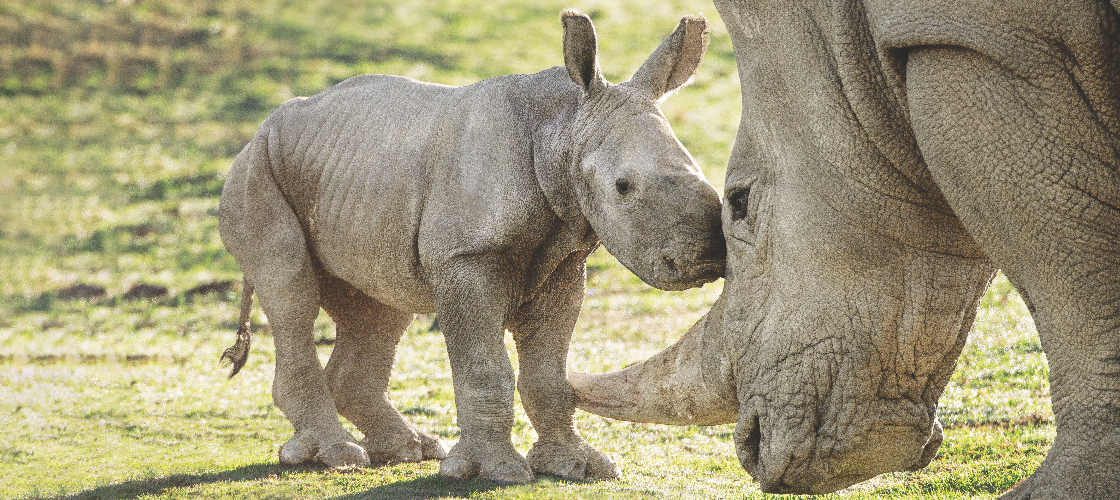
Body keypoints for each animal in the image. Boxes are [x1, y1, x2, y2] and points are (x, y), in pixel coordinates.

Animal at [220, 8, 725, 484]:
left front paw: (579, 465)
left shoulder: (563, 261)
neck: (563, 130)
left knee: (380, 308)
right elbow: (486, 369)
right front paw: (497, 470)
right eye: (623, 187)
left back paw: (410, 450)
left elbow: (549, 373)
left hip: (354, 177)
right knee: (290, 292)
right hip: (257, 168)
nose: (705, 259)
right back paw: (339, 457)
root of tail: (261, 128)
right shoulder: (468, 257)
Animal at [573, 0, 1120, 495]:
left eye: (740, 203)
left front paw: (1058, 490)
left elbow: (1071, 276)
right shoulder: (971, 35)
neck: (834, 23)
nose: (751, 448)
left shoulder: (981, 39)